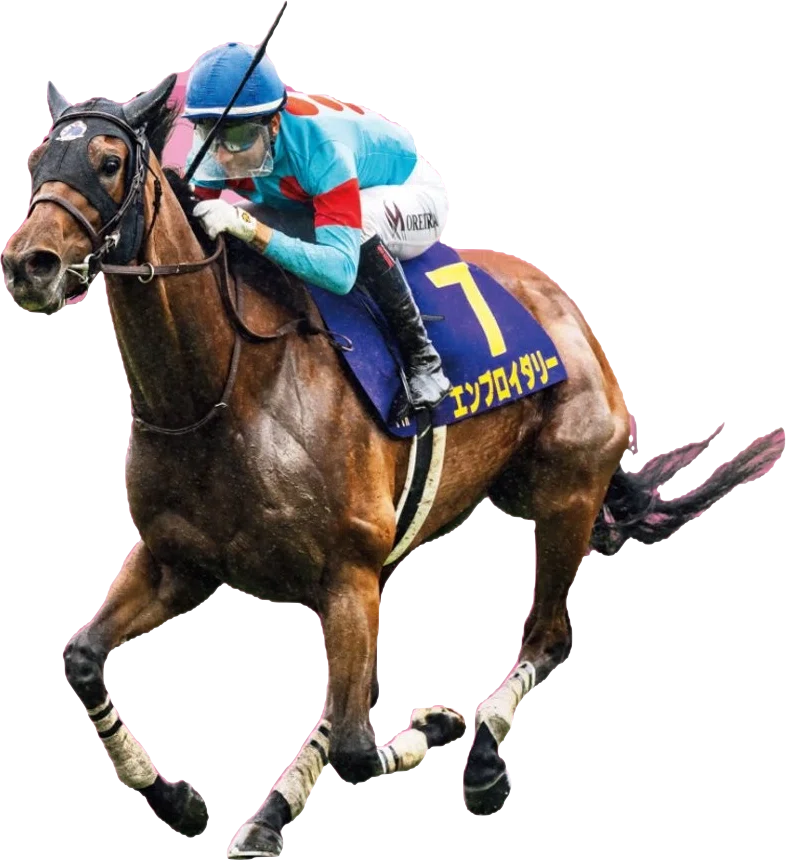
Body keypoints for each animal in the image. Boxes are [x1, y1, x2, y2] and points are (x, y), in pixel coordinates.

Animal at [3, 74, 784, 857]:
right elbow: (83, 659)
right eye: (36, 161)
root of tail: (565, 309)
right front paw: (177, 800)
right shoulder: (180, 564)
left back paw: (482, 757)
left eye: (108, 162)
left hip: (566, 494)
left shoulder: (348, 573)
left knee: (545, 640)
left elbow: (354, 747)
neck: (223, 390)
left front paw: (436, 724)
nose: (29, 264)